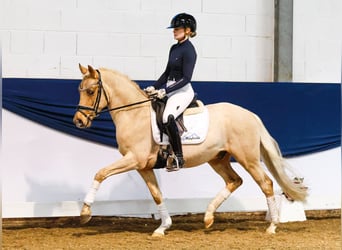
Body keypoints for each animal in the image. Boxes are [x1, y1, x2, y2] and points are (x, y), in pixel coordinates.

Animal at [73, 64, 308, 236]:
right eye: (79, 91)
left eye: (91, 91)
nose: (78, 121)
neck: (134, 115)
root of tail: (251, 115)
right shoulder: (143, 166)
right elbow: (157, 195)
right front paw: (162, 227)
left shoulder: (134, 159)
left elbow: (101, 173)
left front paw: (85, 212)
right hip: (218, 159)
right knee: (235, 181)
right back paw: (208, 217)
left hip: (247, 158)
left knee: (266, 183)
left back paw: (272, 226)